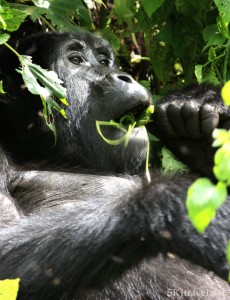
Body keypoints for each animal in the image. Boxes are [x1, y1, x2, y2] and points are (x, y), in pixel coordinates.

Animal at [0, 31, 230, 298]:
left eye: (104, 61)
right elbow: (7, 264)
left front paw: (201, 107)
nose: (126, 77)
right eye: (76, 60)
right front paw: (172, 206)